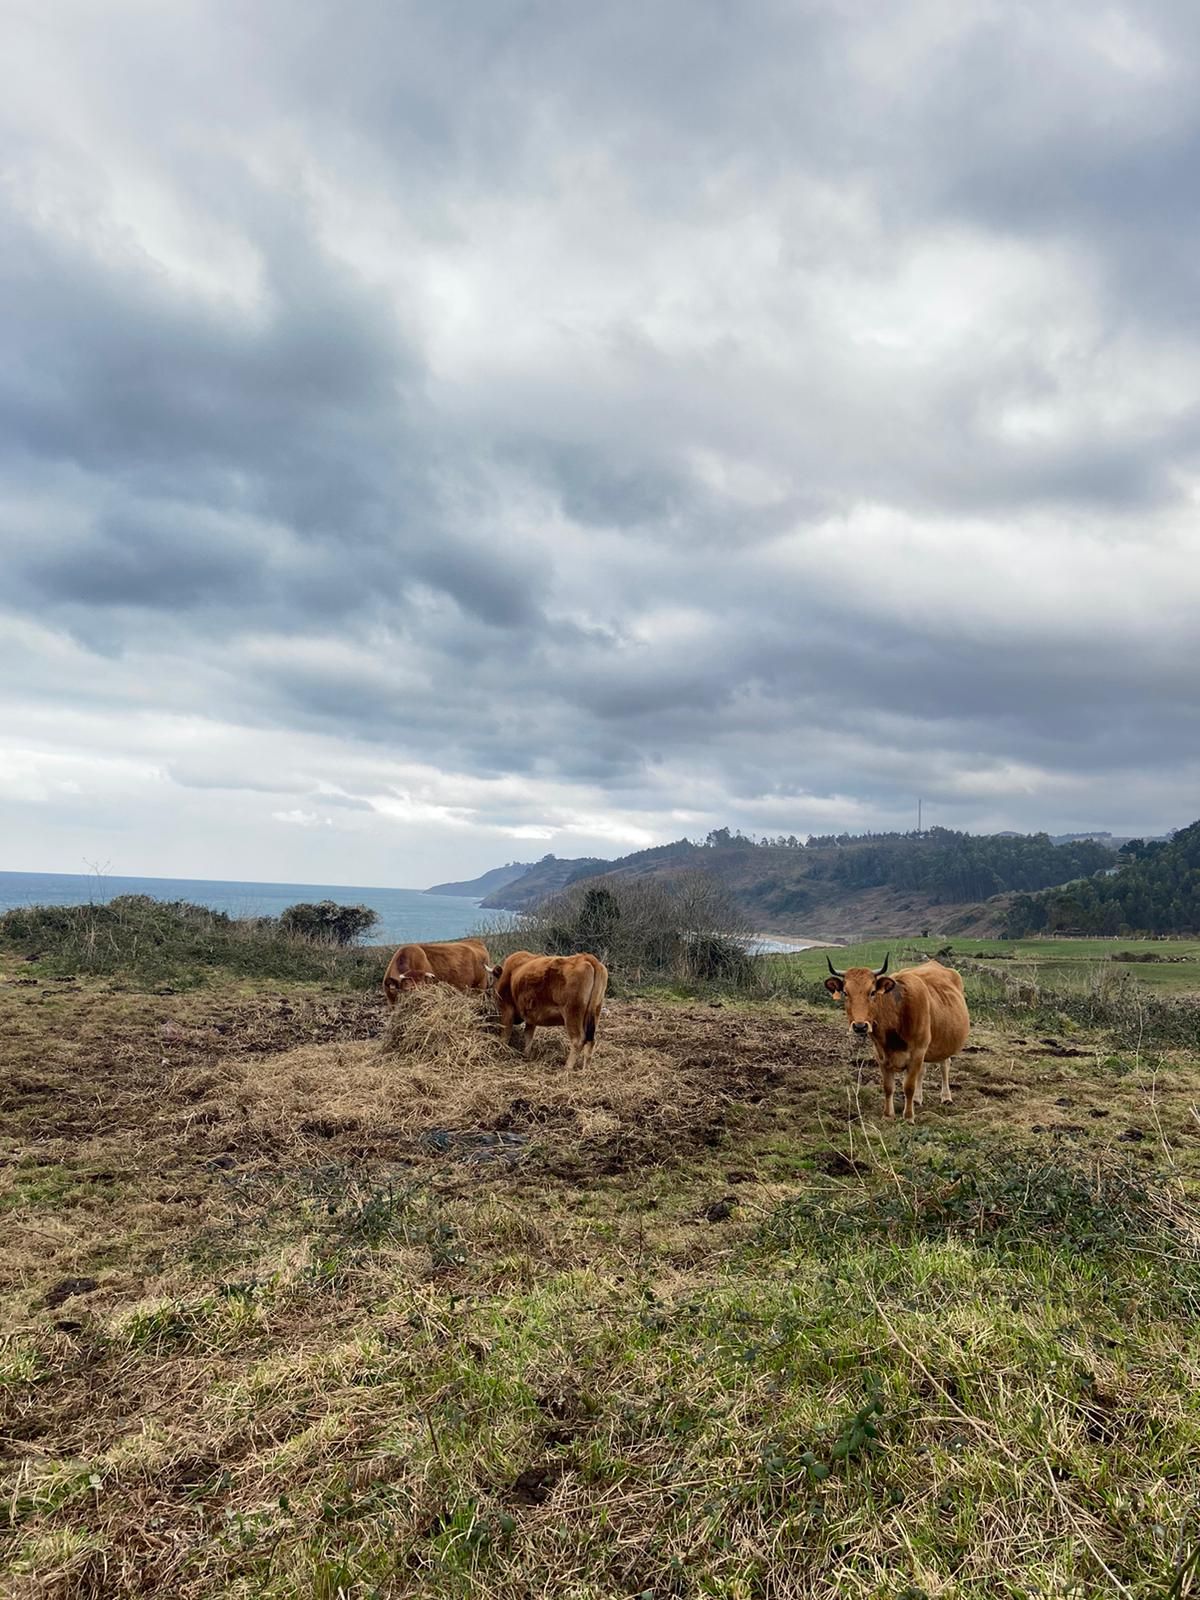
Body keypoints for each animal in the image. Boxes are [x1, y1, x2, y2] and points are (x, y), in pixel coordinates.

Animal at [489, 940, 604, 1068]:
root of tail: (586, 957)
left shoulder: (507, 1010)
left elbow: (505, 1034)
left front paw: (501, 1049)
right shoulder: (531, 1016)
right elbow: (528, 1035)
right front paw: (526, 1054)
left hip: (572, 1013)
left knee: (578, 1040)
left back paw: (567, 1067)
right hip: (594, 1013)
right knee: (590, 1042)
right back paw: (586, 1069)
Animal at [825, 947, 972, 1126]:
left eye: (872, 992)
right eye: (846, 993)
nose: (860, 1026)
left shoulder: (917, 1052)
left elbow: (908, 1086)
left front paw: (908, 1117)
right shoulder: (881, 1055)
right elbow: (888, 1087)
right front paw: (888, 1115)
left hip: (943, 1042)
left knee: (944, 1065)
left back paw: (946, 1097)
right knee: (923, 1071)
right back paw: (917, 1099)